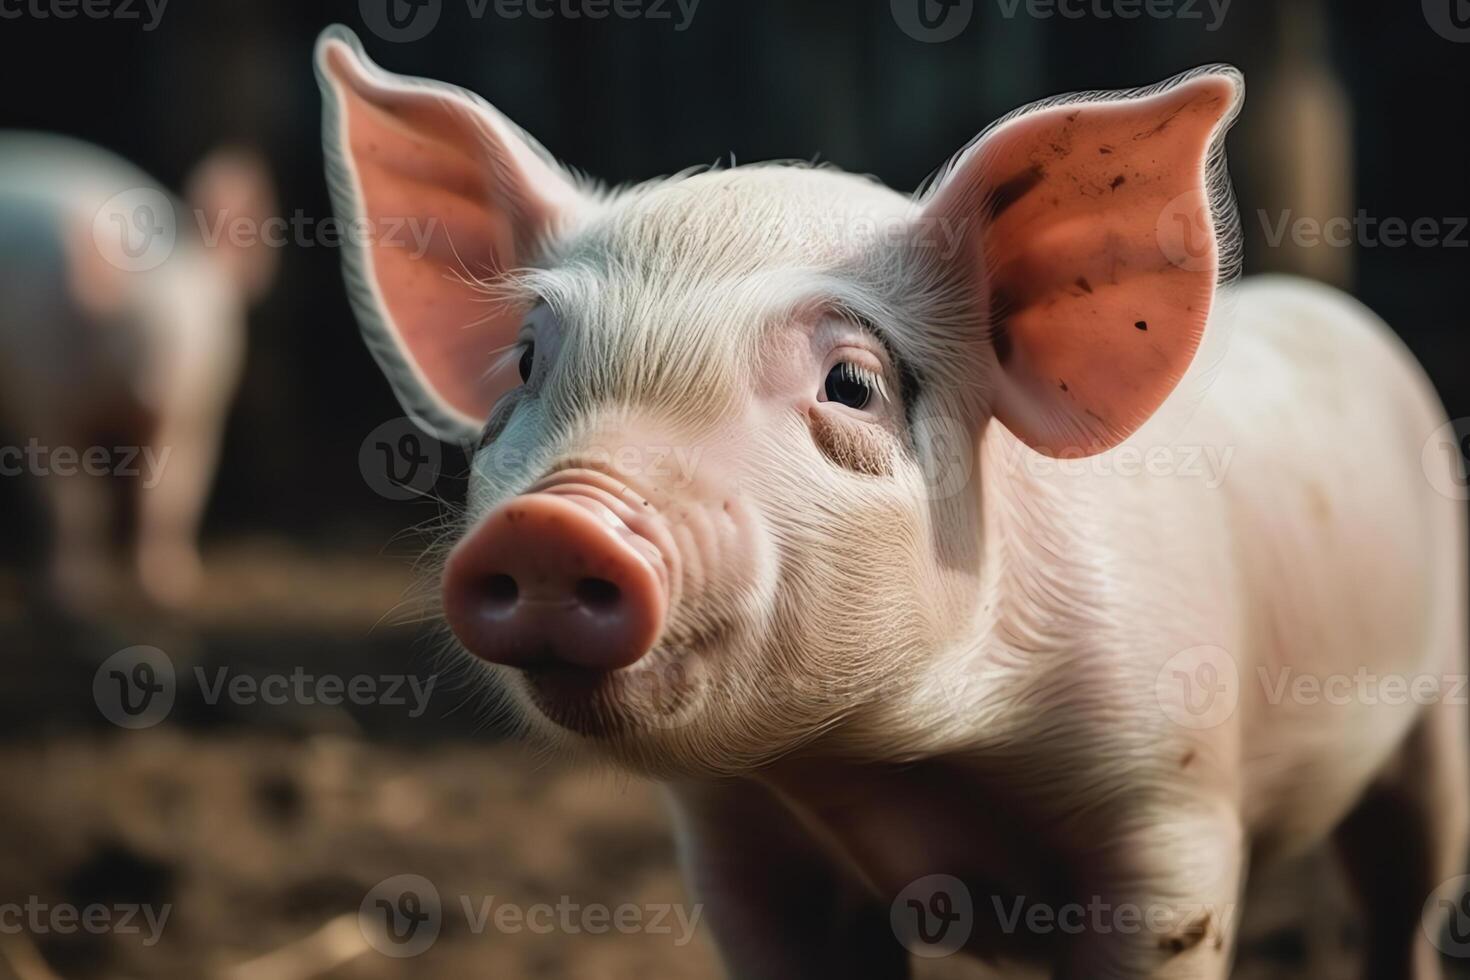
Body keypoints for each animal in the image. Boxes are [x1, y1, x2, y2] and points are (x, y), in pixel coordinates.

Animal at [0, 135, 276, 614]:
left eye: (208, 326)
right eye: (132, 333)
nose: (159, 392)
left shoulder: (199, 414)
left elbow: (172, 494)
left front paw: (171, 588)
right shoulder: (43, 400)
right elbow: (76, 498)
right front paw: (75, 593)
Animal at [318, 26, 1458, 975]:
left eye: (853, 383)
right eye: (523, 361)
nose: (555, 519)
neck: (881, 759)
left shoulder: (1168, 810)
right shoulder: (739, 846)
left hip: (1437, 705)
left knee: (1407, 893)